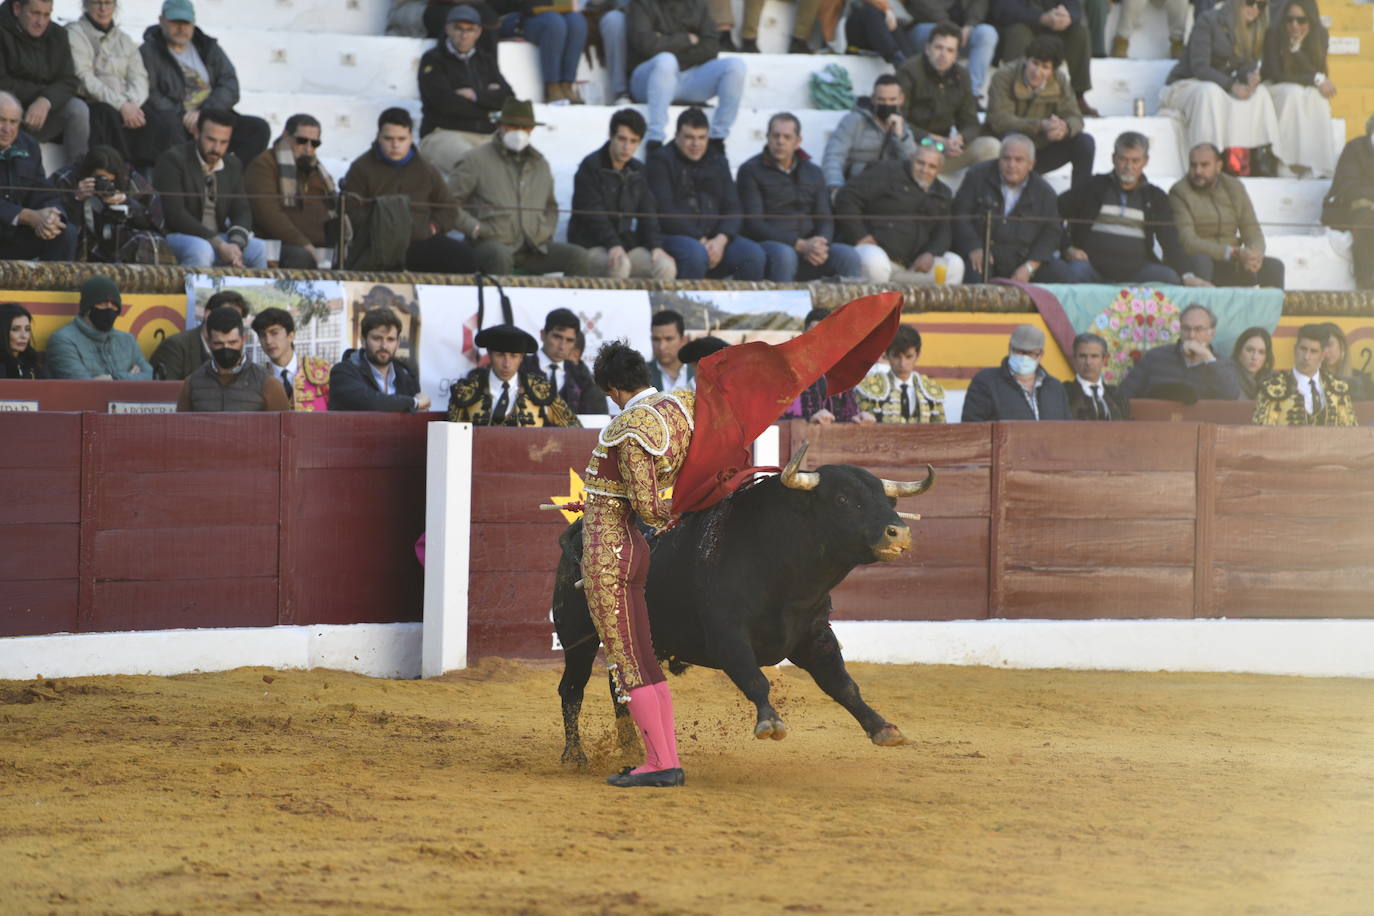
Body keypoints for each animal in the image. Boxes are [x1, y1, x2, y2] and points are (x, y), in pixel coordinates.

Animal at [549, 444, 934, 769]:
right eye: (842, 498)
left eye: (889, 502)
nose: (899, 533)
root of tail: (580, 527)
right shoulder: (726, 635)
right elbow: (755, 678)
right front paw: (770, 722)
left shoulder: (816, 636)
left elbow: (842, 684)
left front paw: (883, 728)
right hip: (578, 639)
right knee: (573, 688)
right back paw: (575, 755)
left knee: (625, 688)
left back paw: (632, 748)